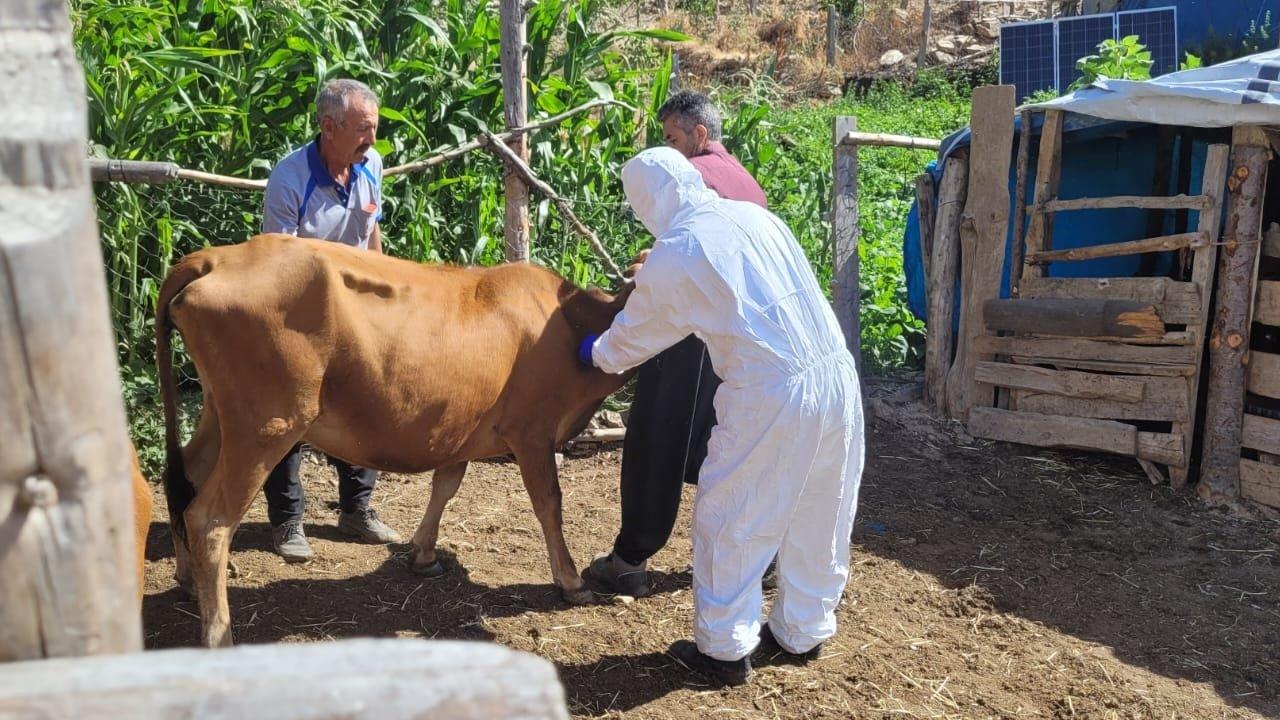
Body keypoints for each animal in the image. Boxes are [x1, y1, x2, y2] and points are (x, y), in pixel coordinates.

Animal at [156, 230, 634, 645]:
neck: (570, 324)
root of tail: (217, 257)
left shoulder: (460, 426)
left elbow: (445, 487)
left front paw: (422, 553)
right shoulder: (533, 432)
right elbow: (549, 504)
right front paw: (571, 581)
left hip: (222, 414)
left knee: (183, 477)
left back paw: (188, 582)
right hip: (267, 424)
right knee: (210, 519)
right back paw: (219, 633)